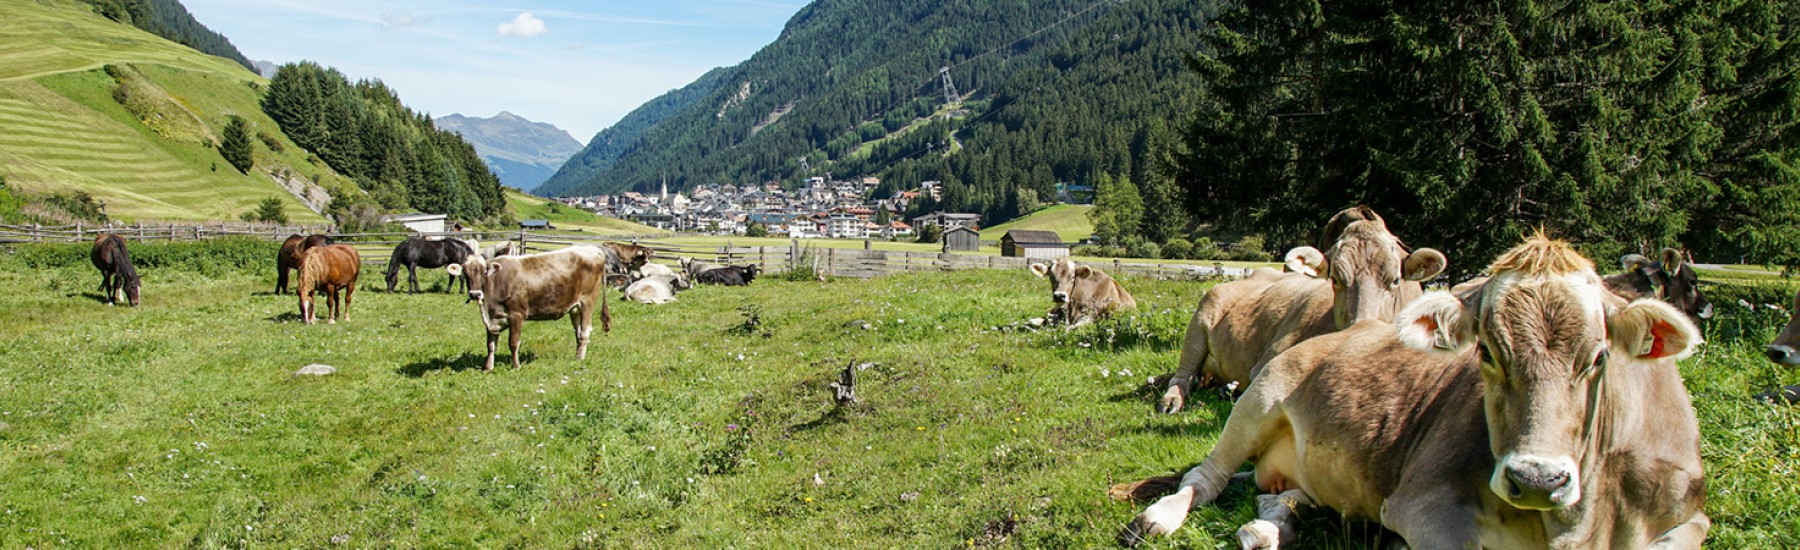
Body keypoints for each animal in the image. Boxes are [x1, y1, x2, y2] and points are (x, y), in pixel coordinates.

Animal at [446, 244, 615, 370]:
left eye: (484, 271)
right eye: (465, 272)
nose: (475, 294)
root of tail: (594, 249)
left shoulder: (517, 315)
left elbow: (513, 343)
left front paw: (516, 366)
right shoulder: (492, 319)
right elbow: (491, 345)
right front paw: (488, 367)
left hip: (588, 301)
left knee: (585, 331)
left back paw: (580, 359)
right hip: (575, 308)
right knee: (578, 333)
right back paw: (576, 356)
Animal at [1116, 235, 1706, 550]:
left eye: (1598, 358)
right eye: (1486, 352)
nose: (1537, 478)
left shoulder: (1690, 518)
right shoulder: (1425, 505)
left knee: (1277, 494)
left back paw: (1270, 524)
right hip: (1258, 395)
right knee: (1204, 477)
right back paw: (1158, 518)